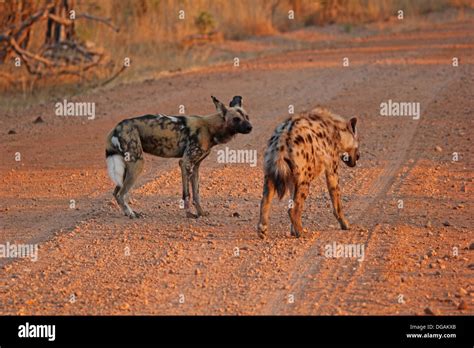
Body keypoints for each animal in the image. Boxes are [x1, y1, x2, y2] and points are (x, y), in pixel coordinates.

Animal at [104, 95, 252, 219]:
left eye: (247, 117)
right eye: (236, 119)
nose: (250, 127)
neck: (210, 128)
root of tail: (116, 127)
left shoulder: (195, 166)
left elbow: (196, 194)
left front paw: (201, 213)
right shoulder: (185, 162)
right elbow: (186, 194)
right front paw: (189, 214)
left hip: (127, 168)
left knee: (116, 193)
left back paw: (128, 212)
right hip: (137, 164)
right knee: (121, 193)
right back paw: (131, 214)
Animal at [260, 107, 360, 238]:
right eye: (358, 144)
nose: (358, 156)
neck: (337, 130)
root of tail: (282, 141)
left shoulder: (293, 178)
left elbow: (291, 198)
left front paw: (292, 231)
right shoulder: (331, 167)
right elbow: (336, 197)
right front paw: (346, 225)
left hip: (270, 172)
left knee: (265, 200)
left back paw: (262, 231)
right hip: (305, 177)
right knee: (293, 208)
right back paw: (301, 233)